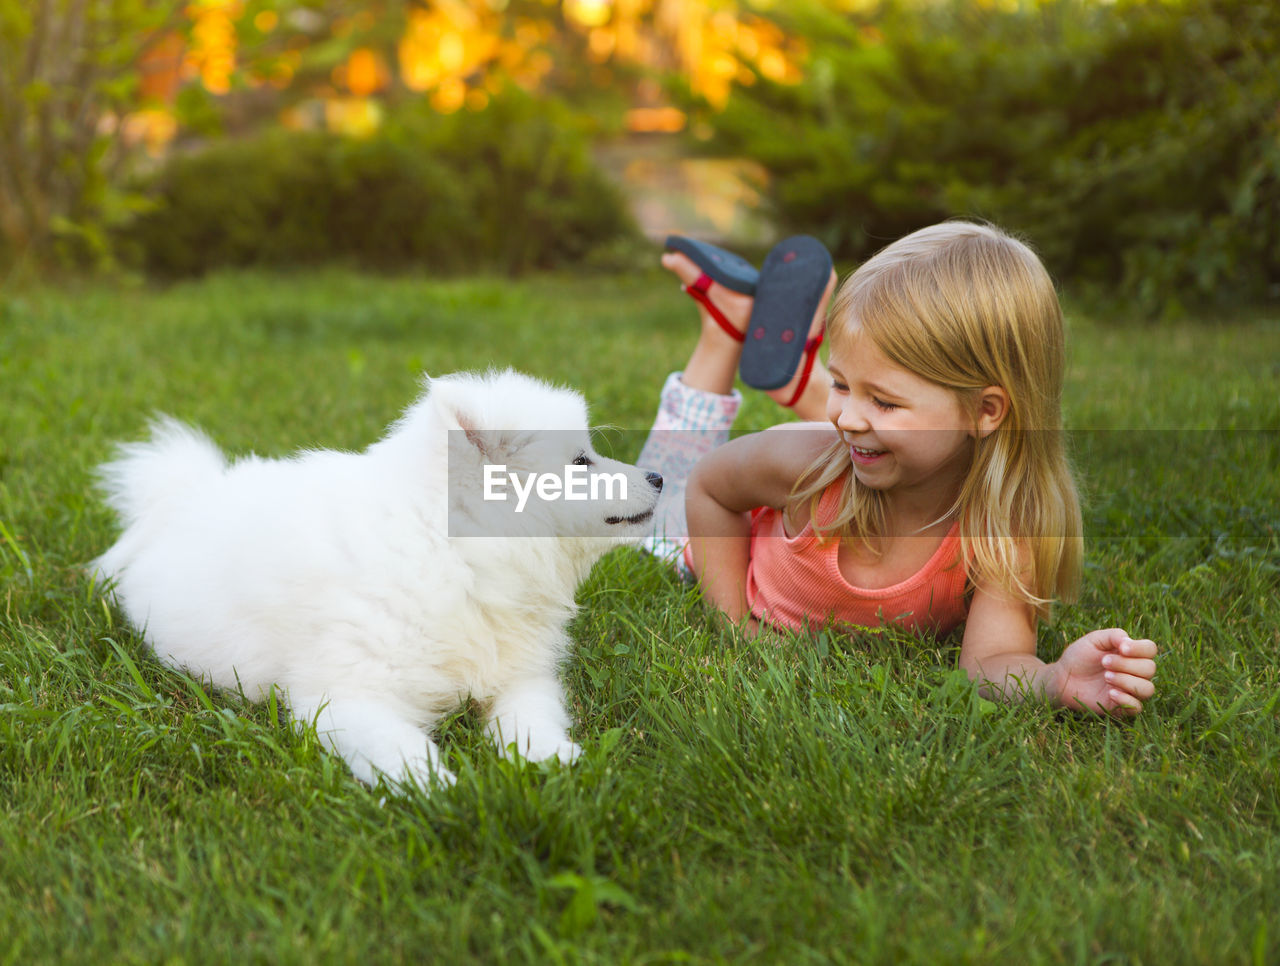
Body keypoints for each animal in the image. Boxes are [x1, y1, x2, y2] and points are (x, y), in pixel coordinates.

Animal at [94, 365, 665, 788]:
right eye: (581, 461)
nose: (658, 476)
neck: (452, 557)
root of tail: (185, 496)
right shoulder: (347, 696)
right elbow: (405, 751)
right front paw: (445, 794)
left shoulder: (519, 674)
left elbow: (530, 716)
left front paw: (551, 760)